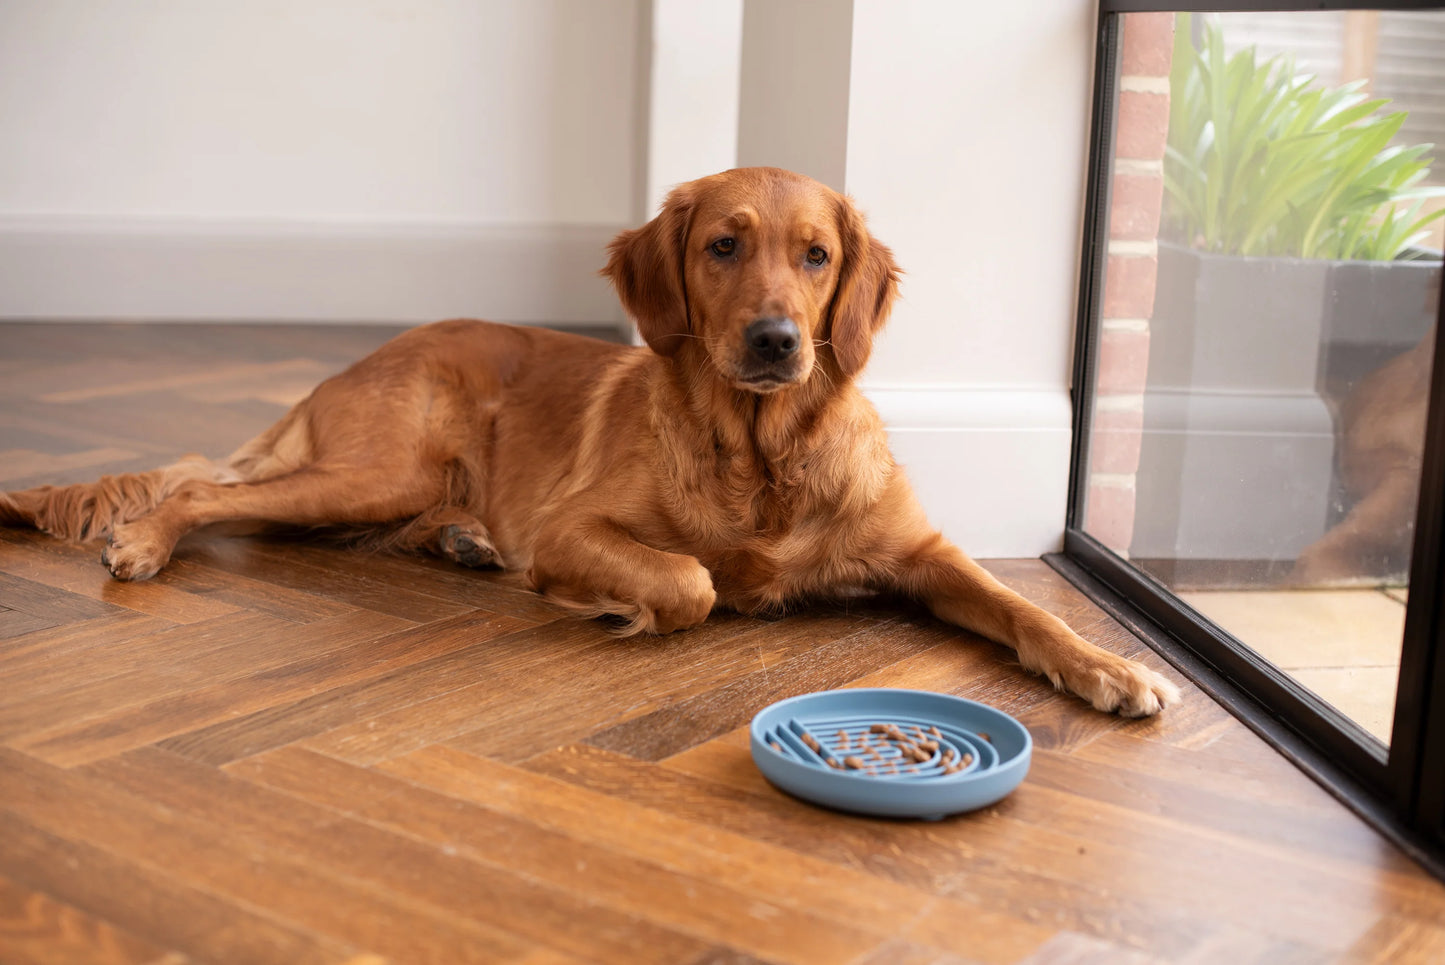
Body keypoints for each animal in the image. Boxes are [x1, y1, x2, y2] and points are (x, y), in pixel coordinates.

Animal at [0, 163, 1173, 716]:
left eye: (816, 255)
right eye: (721, 245)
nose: (775, 340)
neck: (759, 456)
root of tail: (362, 358)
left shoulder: (923, 553)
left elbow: (1023, 605)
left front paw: (1109, 666)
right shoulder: (573, 528)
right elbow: (690, 581)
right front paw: (622, 601)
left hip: (376, 484)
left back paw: (461, 539)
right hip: (375, 466)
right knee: (201, 493)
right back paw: (143, 543)